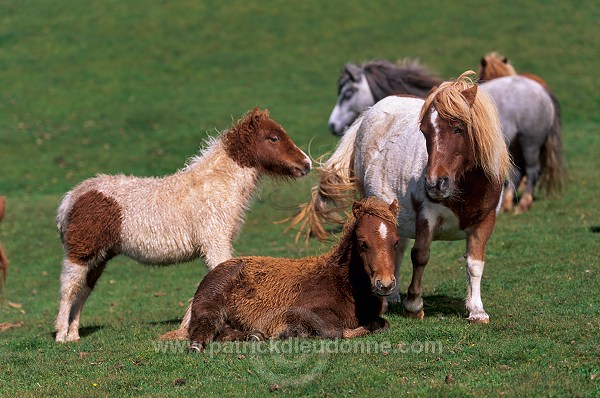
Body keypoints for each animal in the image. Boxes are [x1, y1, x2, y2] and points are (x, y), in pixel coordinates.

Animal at [190, 197, 400, 352]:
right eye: (363, 243)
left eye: (396, 242)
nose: (385, 284)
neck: (341, 284)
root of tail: (220, 267)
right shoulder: (306, 311)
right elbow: (336, 331)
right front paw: (290, 332)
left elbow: (382, 324)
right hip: (210, 306)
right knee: (205, 328)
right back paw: (198, 345)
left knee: (224, 332)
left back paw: (254, 335)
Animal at [288, 72, 508, 324]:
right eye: (424, 130)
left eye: (458, 128)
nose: (434, 184)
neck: (465, 189)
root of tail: (370, 111)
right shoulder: (426, 217)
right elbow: (420, 256)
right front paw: (413, 305)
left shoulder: (485, 221)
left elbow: (474, 263)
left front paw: (476, 310)